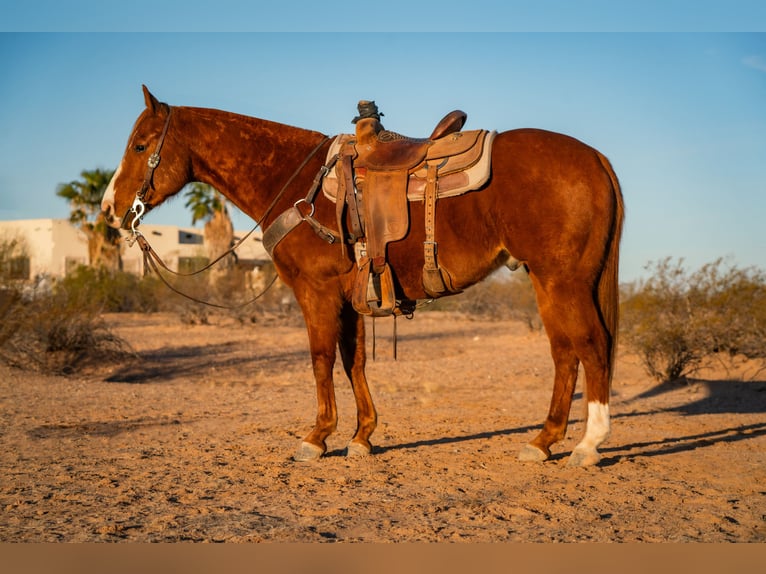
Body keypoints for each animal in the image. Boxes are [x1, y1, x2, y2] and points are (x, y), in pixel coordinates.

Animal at [102, 88, 628, 470]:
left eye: (141, 145)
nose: (109, 208)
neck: (298, 185)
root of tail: (596, 158)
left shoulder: (316, 291)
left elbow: (320, 359)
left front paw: (316, 438)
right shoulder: (348, 294)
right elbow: (353, 360)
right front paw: (361, 436)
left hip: (562, 280)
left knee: (590, 345)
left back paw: (587, 445)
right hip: (549, 281)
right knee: (565, 352)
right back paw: (543, 441)